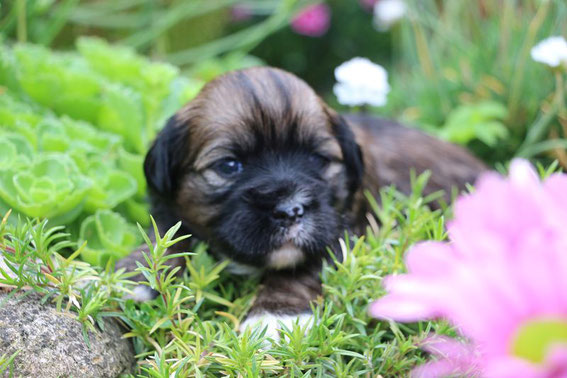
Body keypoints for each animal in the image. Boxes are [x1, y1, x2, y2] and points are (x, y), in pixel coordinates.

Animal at [117, 66, 486, 338]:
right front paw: (134, 274)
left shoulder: (342, 228)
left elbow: (301, 266)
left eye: (318, 159)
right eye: (229, 166)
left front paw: (274, 317)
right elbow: (166, 238)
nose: (291, 210)